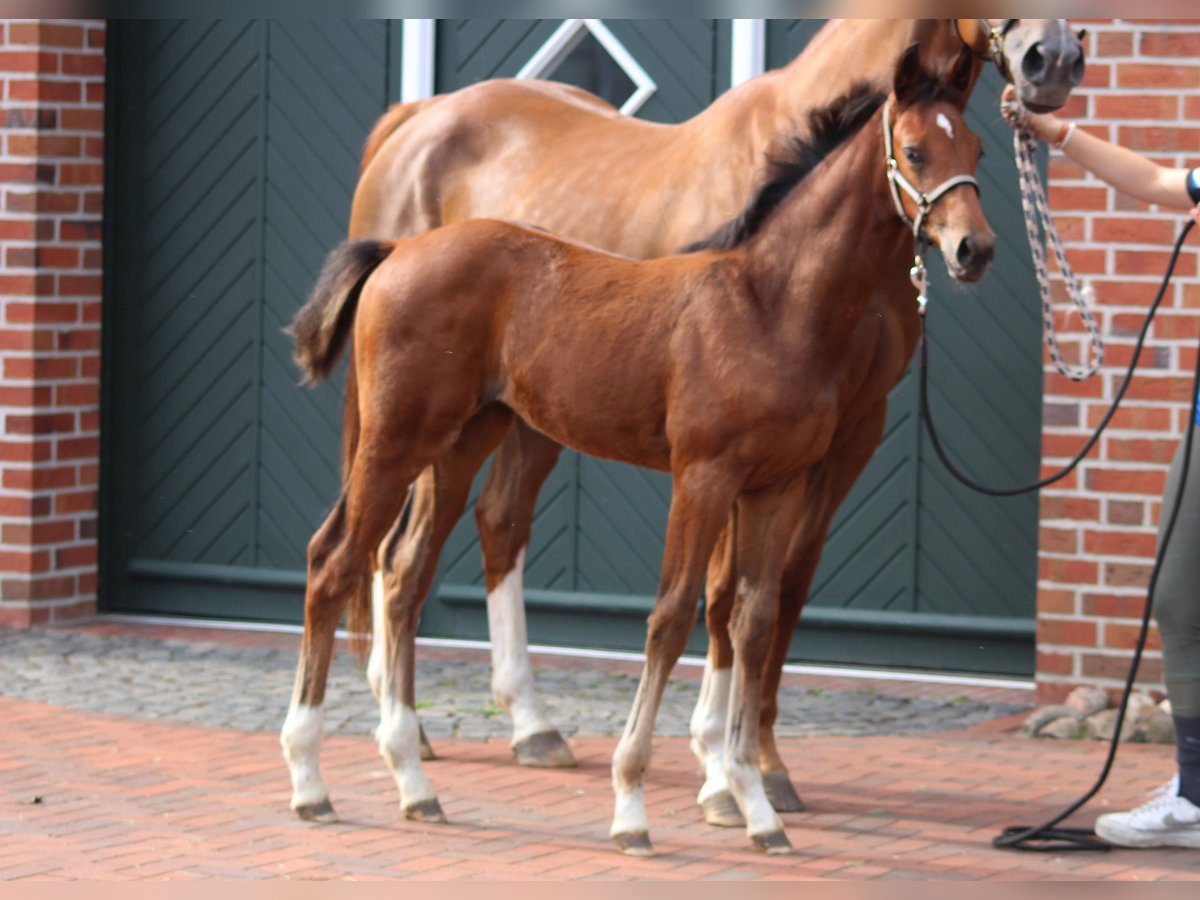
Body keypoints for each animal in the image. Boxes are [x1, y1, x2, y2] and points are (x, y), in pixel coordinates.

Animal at [288, 44, 993, 859]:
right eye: (914, 150)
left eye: (978, 150)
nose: (975, 249)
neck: (771, 307)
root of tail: (398, 249)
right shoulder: (703, 476)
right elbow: (672, 615)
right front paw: (634, 807)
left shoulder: (774, 486)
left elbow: (752, 621)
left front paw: (756, 805)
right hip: (398, 440)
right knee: (334, 561)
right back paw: (309, 780)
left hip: (465, 439)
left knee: (403, 572)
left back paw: (414, 784)